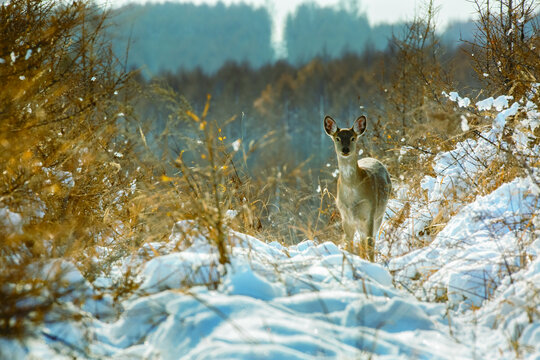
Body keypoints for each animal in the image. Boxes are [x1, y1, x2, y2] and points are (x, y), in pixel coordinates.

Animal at [322, 115, 390, 262]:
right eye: (337, 138)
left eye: (353, 138)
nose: (345, 149)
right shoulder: (345, 216)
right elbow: (349, 244)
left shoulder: (370, 211)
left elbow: (369, 244)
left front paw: (371, 263)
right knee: (362, 242)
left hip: (379, 215)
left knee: (370, 240)